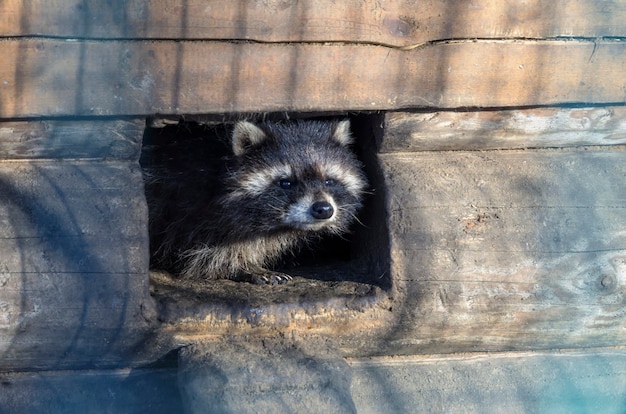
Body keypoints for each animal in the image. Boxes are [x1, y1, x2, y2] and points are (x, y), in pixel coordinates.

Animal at [141, 118, 366, 284]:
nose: (324, 209)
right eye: (286, 183)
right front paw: (241, 266)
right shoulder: (186, 201)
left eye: (329, 180)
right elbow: (203, 247)